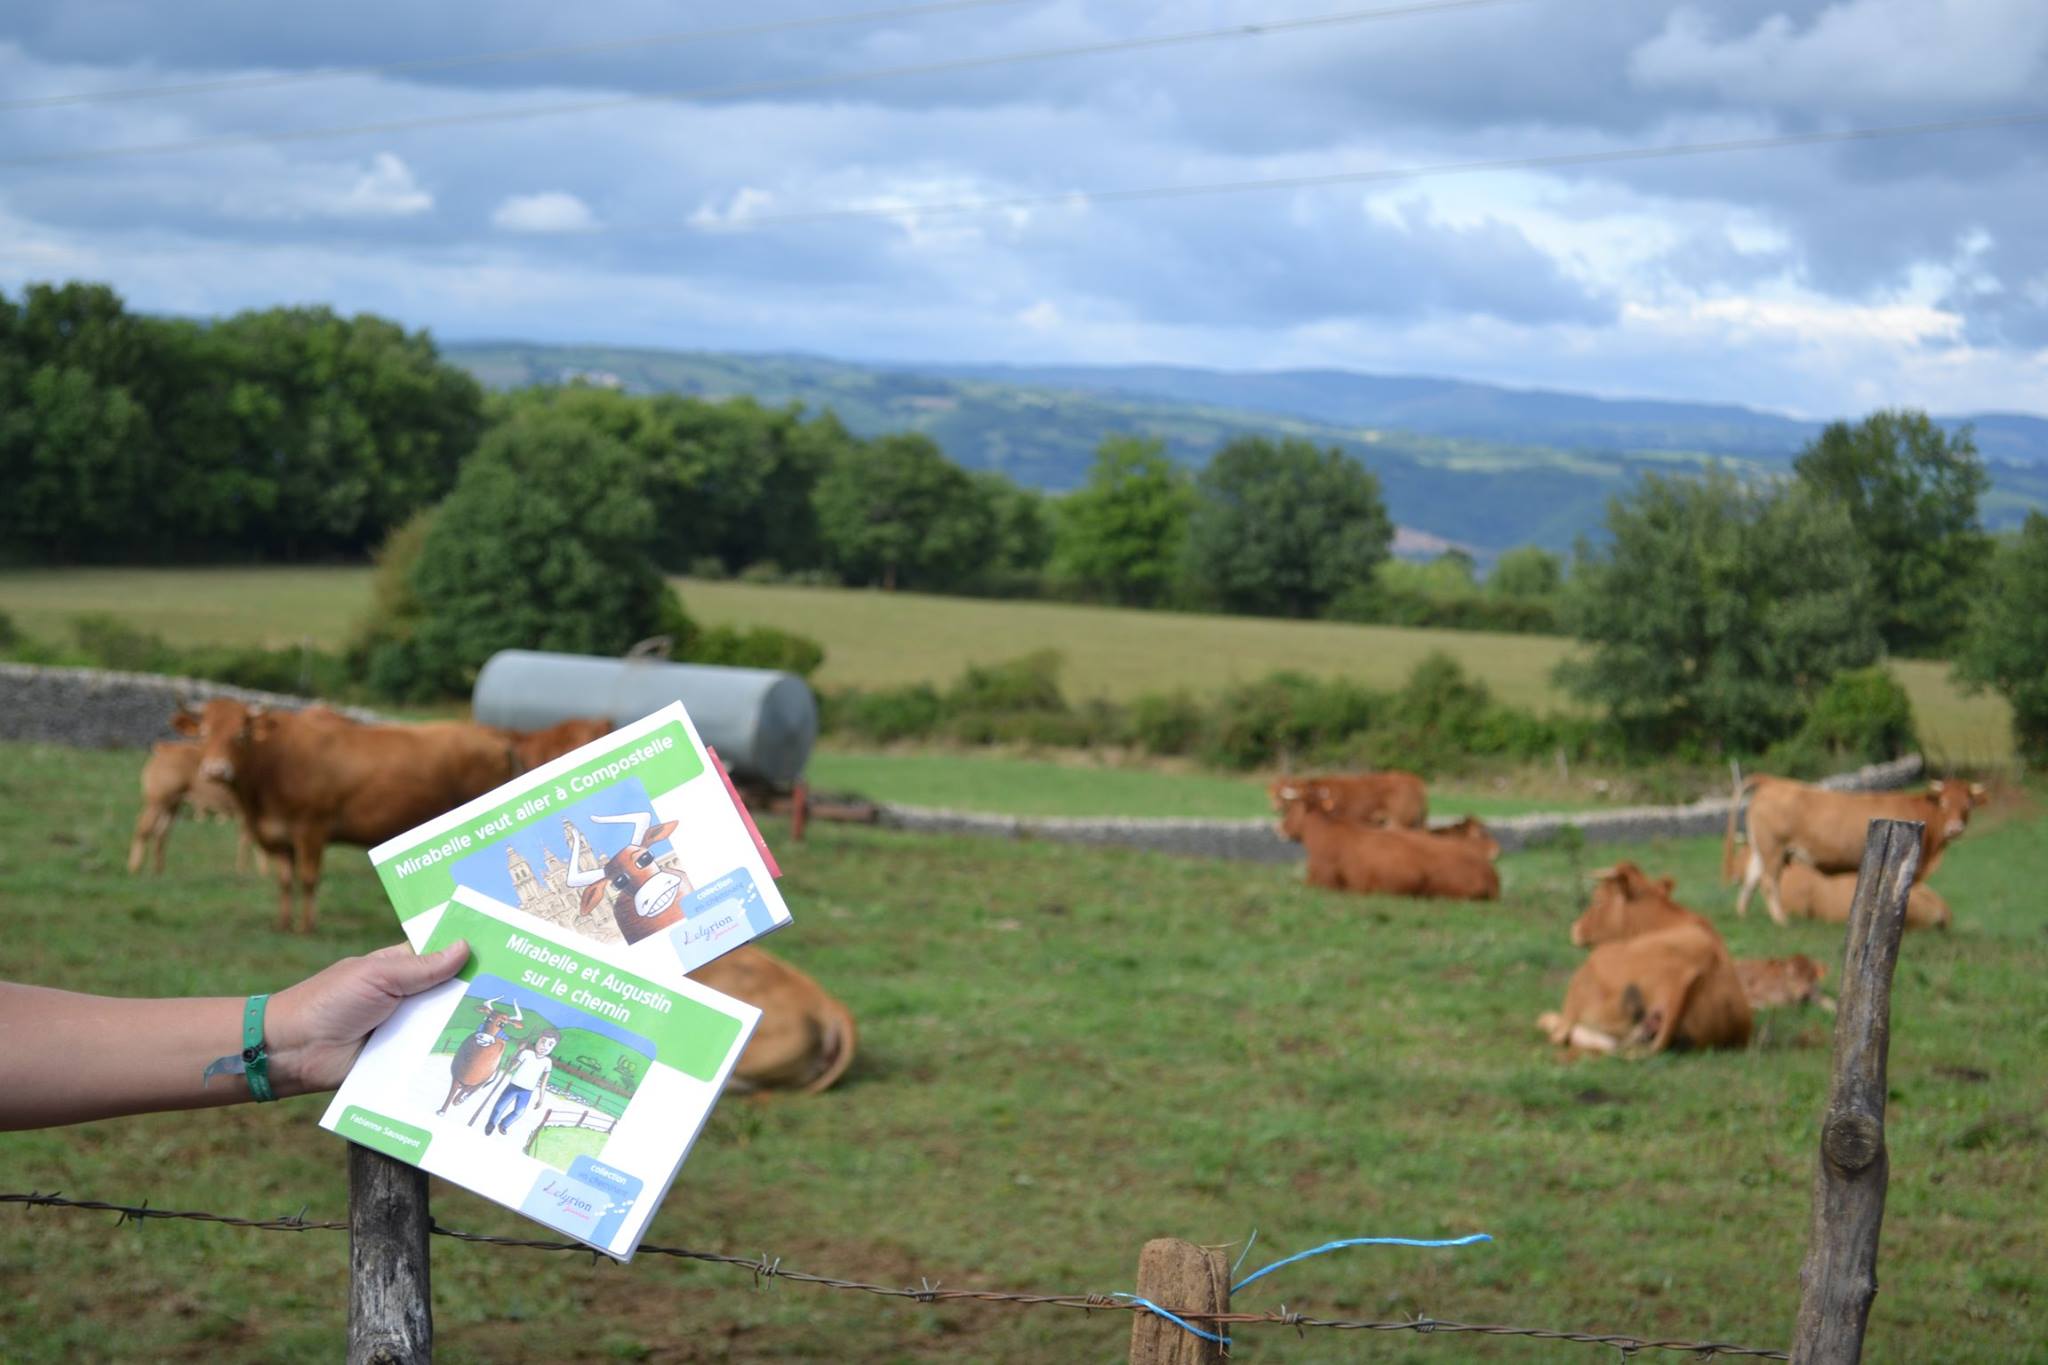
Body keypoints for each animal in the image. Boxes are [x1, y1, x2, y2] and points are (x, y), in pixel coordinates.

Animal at [175, 699, 520, 933]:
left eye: (241, 734)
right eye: (204, 733)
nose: (216, 770)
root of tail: (493, 738)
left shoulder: (311, 828)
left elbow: (308, 878)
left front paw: (306, 928)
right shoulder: (280, 835)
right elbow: (285, 880)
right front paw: (283, 924)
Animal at [1720, 777, 1990, 929]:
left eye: (1968, 804)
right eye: (1944, 803)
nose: (1955, 828)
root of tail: (1774, 783)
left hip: (1763, 850)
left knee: (1752, 878)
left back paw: (1743, 914)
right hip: (1774, 849)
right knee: (1768, 882)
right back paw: (1781, 920)